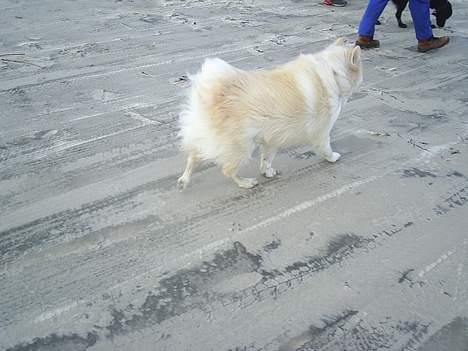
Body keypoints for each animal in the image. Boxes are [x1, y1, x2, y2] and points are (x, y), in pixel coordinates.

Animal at [177, 38, 364, 190]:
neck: (333, 72)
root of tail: (211, 91)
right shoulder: (322, 133)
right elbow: (326, 149)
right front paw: (333, 157)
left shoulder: (272, 139)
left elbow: (266, 159)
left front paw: (267, 172)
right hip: (242, 147)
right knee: (227, 170)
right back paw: (245, 182)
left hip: (205, 136)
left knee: (193, 157)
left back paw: (184, 180)